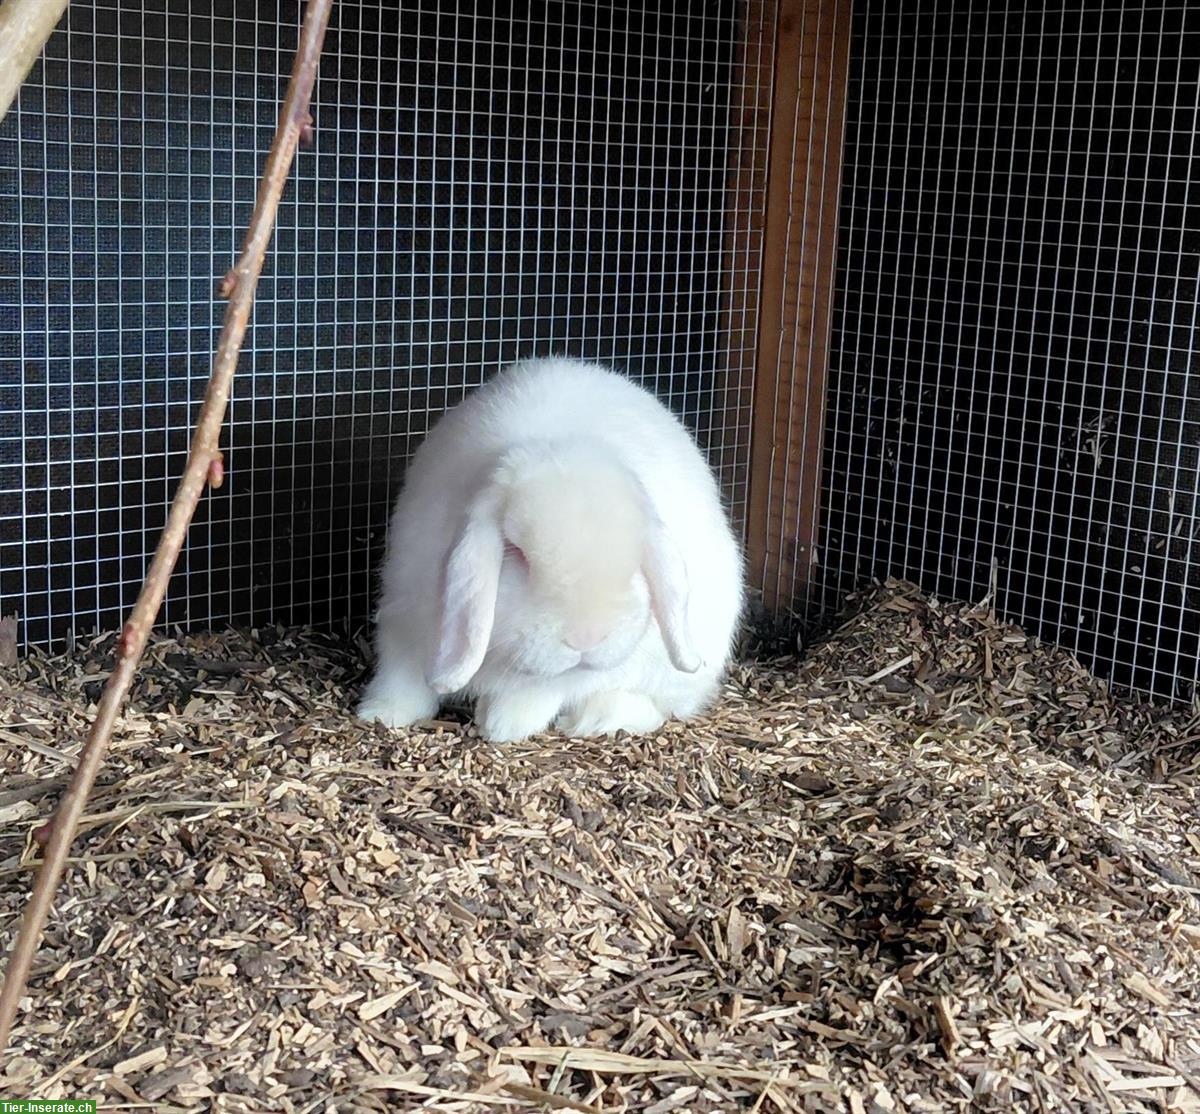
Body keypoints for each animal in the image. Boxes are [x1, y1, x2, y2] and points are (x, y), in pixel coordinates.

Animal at [357, 356, 744, 742]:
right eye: (517, 552)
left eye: (635, 561)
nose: (587, 638)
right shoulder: (405, 614)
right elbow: (401, 676)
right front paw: (381, 712)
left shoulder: (572, 676)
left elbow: (547, 687)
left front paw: (503, 723)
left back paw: (593, 719)